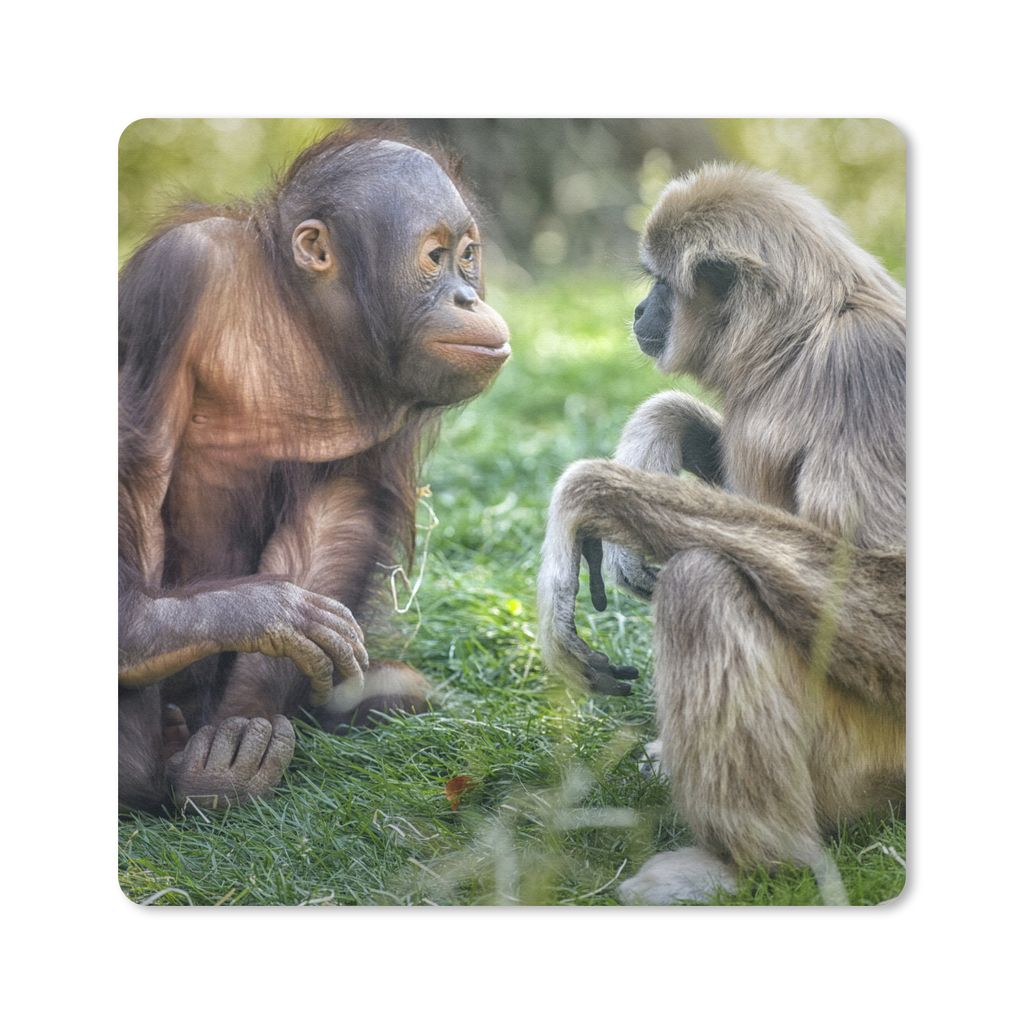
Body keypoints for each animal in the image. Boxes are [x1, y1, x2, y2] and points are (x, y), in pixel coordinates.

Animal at [119, 128, 510, 813]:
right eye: (435, 256)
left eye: (468, 256)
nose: (468, 296)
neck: (299, 316)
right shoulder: (178, 273)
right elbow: (135, 463)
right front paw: (243, 616)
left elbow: (341, 506)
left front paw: (241, 728)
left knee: (403, 687)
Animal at [537, 163, 905, 904]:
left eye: (660, 282)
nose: (639, 309)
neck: (803, 343)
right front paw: (655, 432)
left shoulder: (868, 367)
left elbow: (895, 592)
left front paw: (589, 496)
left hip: (865, 751)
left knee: (703, 580)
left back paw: (753, 863)